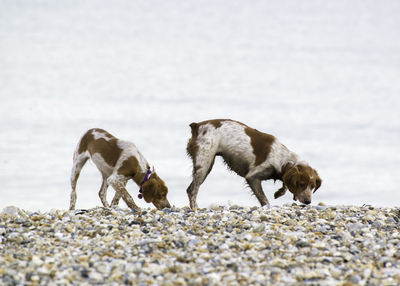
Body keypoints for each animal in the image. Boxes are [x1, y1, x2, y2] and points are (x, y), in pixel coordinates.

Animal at [188, 118, 322, 208]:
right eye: (301, 184)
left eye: (312, 186)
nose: (308, 201)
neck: (282, 158)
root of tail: (197, 125)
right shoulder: (252, 176)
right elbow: (264, 199)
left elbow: (284, 185)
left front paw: (279, 192)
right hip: (204, 164)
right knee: (192, 190)